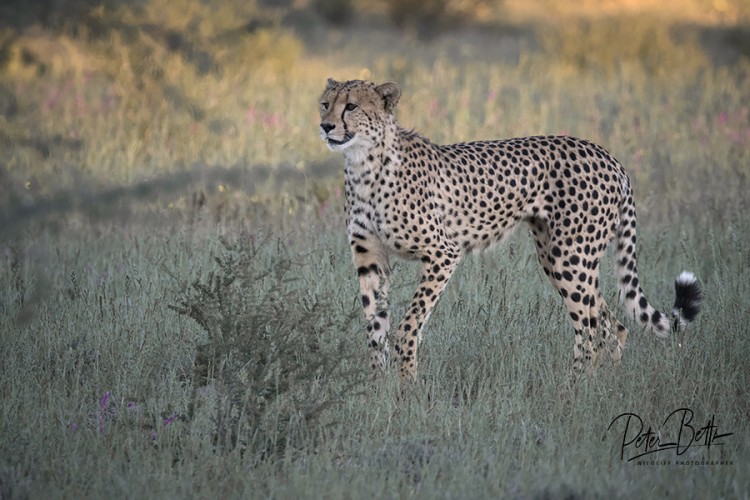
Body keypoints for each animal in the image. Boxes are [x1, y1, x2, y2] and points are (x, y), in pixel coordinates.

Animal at [318, 79, 704, 382]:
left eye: (351, 106)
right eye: (325, 104)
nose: (324, 126)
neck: (364, 164)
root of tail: (608, 155)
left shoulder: (443, 253)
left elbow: (409, 324)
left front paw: (406, 388)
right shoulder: (369, 256)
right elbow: (375, 326)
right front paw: (377, 389)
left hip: (569, 257)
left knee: (589, 327)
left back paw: (572, 393)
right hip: (557, 255)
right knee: (611, 323)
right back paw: (601, 386)